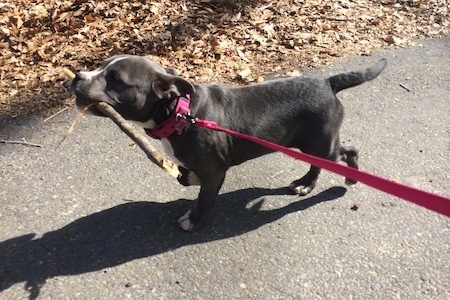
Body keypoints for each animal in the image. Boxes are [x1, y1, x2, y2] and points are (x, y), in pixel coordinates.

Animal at [73, 55, 386, 230]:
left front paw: (195, 220)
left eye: (115, 79)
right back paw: (307, 183)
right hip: (311, 143)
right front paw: (187, 179)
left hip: (319, 144)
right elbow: (188, 176)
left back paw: (332, 180)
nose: (77, 75)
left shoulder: (214, 171)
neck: (178, 112)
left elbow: (205, 199)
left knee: (347, 151)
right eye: (101, 66)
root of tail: (328, 83)